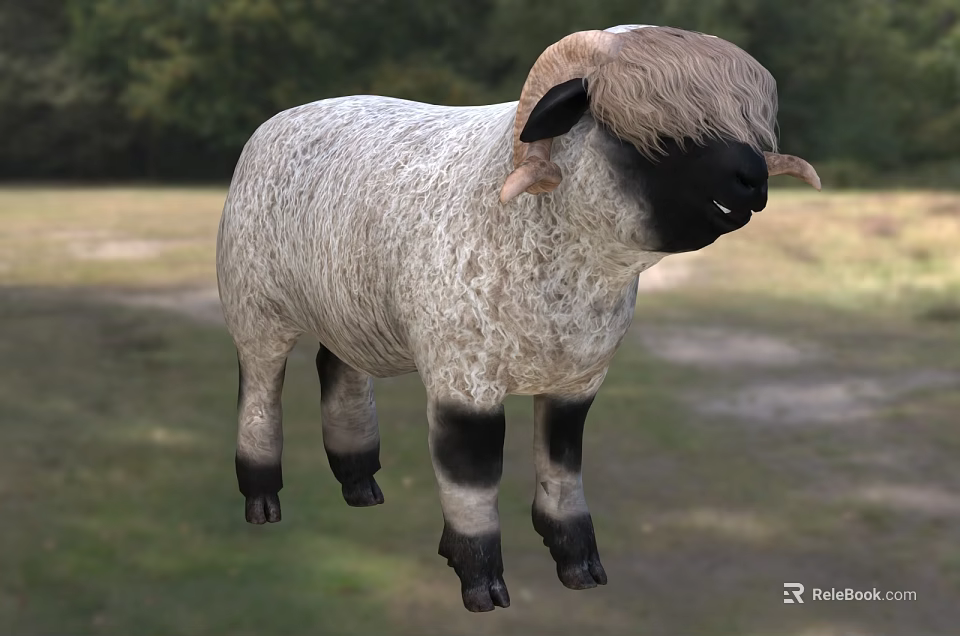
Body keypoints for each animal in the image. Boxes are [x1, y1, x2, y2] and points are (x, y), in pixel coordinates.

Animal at [215, 24, 821, 612]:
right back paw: (262, 500)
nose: (754, 181)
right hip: (255, 309)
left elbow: (562, 467)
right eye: (655, 133)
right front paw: (480, 581)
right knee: (261, 391)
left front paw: (579, 565)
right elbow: (473, 477)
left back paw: (361, 486)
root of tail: (277, 121)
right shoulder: (465, 380)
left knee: (337, 371)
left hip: (349, 309)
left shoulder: (577, 383)